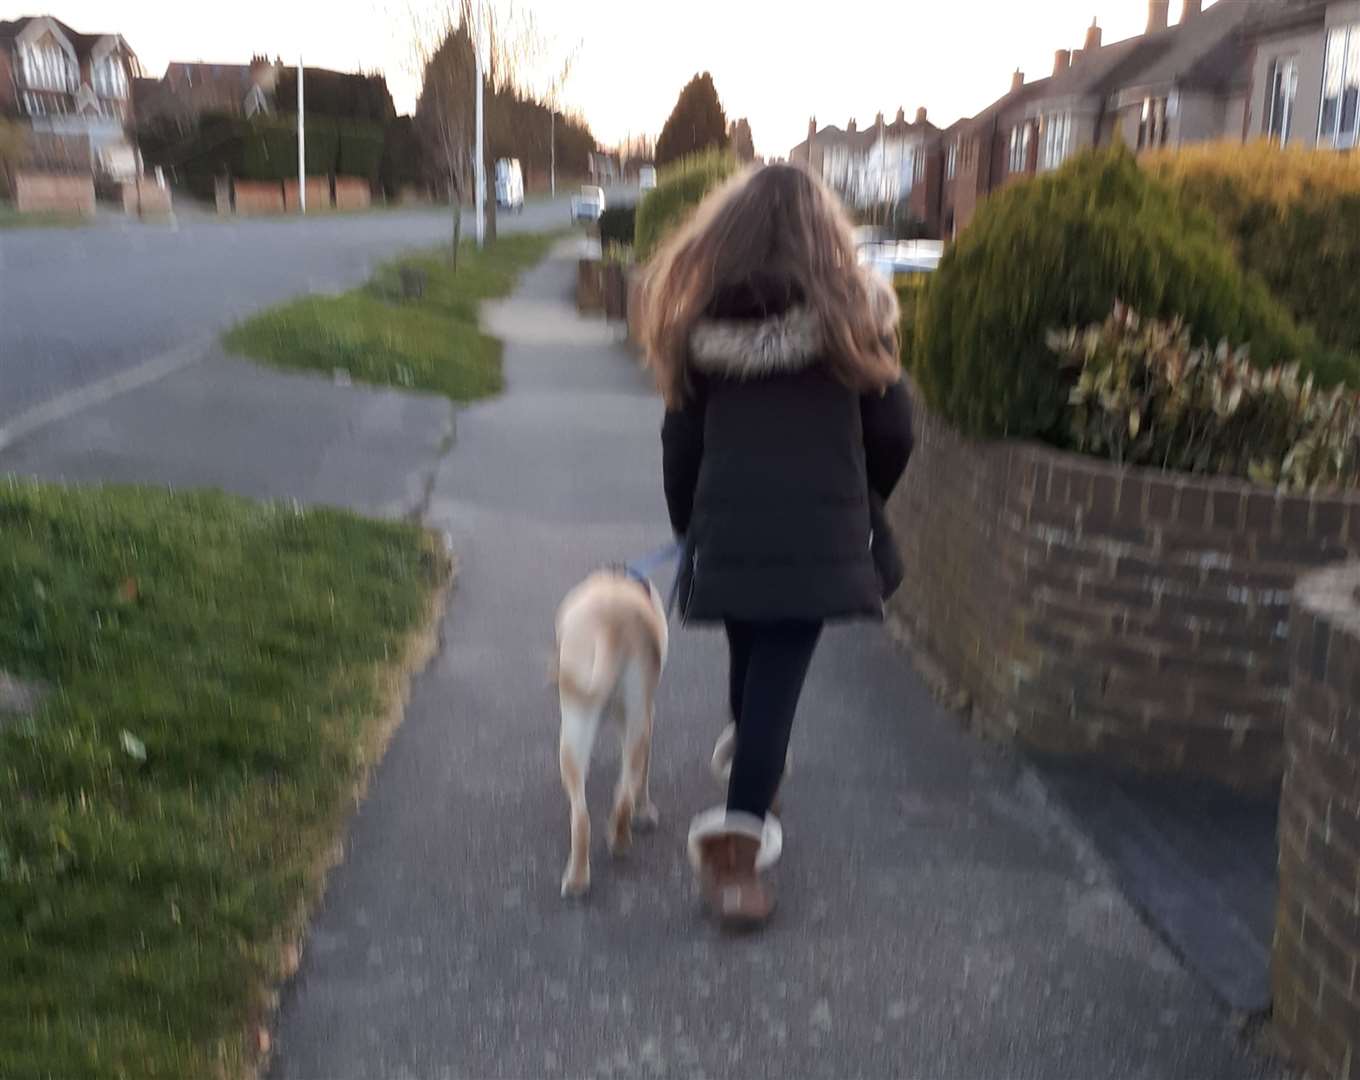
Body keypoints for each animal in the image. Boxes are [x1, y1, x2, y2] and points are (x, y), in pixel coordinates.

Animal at [552, 568, 669, 897]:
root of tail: (612, 621)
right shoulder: (648, 716)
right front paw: (645, 812)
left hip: (579, 723)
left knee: (583, 815)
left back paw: (581, 875)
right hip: (632, 719)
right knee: (624, 793)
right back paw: (615, 844)